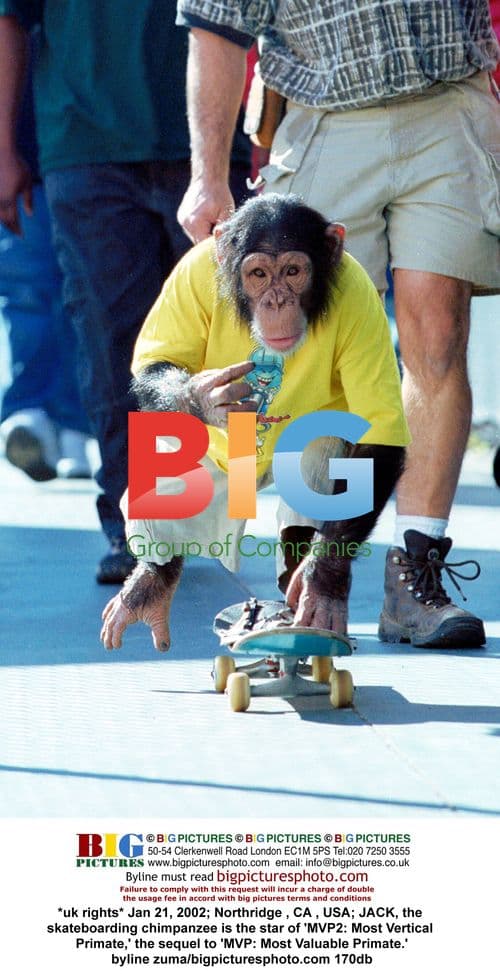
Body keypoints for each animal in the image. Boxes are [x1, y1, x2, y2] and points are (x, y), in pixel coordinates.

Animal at [101, 194, 408, 651]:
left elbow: (377, 437)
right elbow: (158, 366)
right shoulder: (186, 280)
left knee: (319, 448)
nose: (277, 301)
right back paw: (152, 583)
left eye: (294, 272)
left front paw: (323, 582)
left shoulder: (365, 310)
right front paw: (205, 398)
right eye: (259, 274)